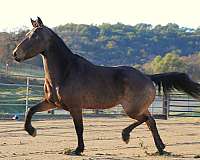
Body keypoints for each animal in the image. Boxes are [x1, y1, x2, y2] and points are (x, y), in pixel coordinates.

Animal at [12, 17, 200, 155]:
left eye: (34, 36)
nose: (15, 54)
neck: (65, 71)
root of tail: (147, 76)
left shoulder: (75, 107)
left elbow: (79, 128)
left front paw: (78, 149)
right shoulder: (52, 103)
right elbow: (30, 111)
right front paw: (32, 131)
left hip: (132, 109)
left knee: (146, 120)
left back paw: (126, 136)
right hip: (139, 108)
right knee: (151, 121)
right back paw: (160, 148)